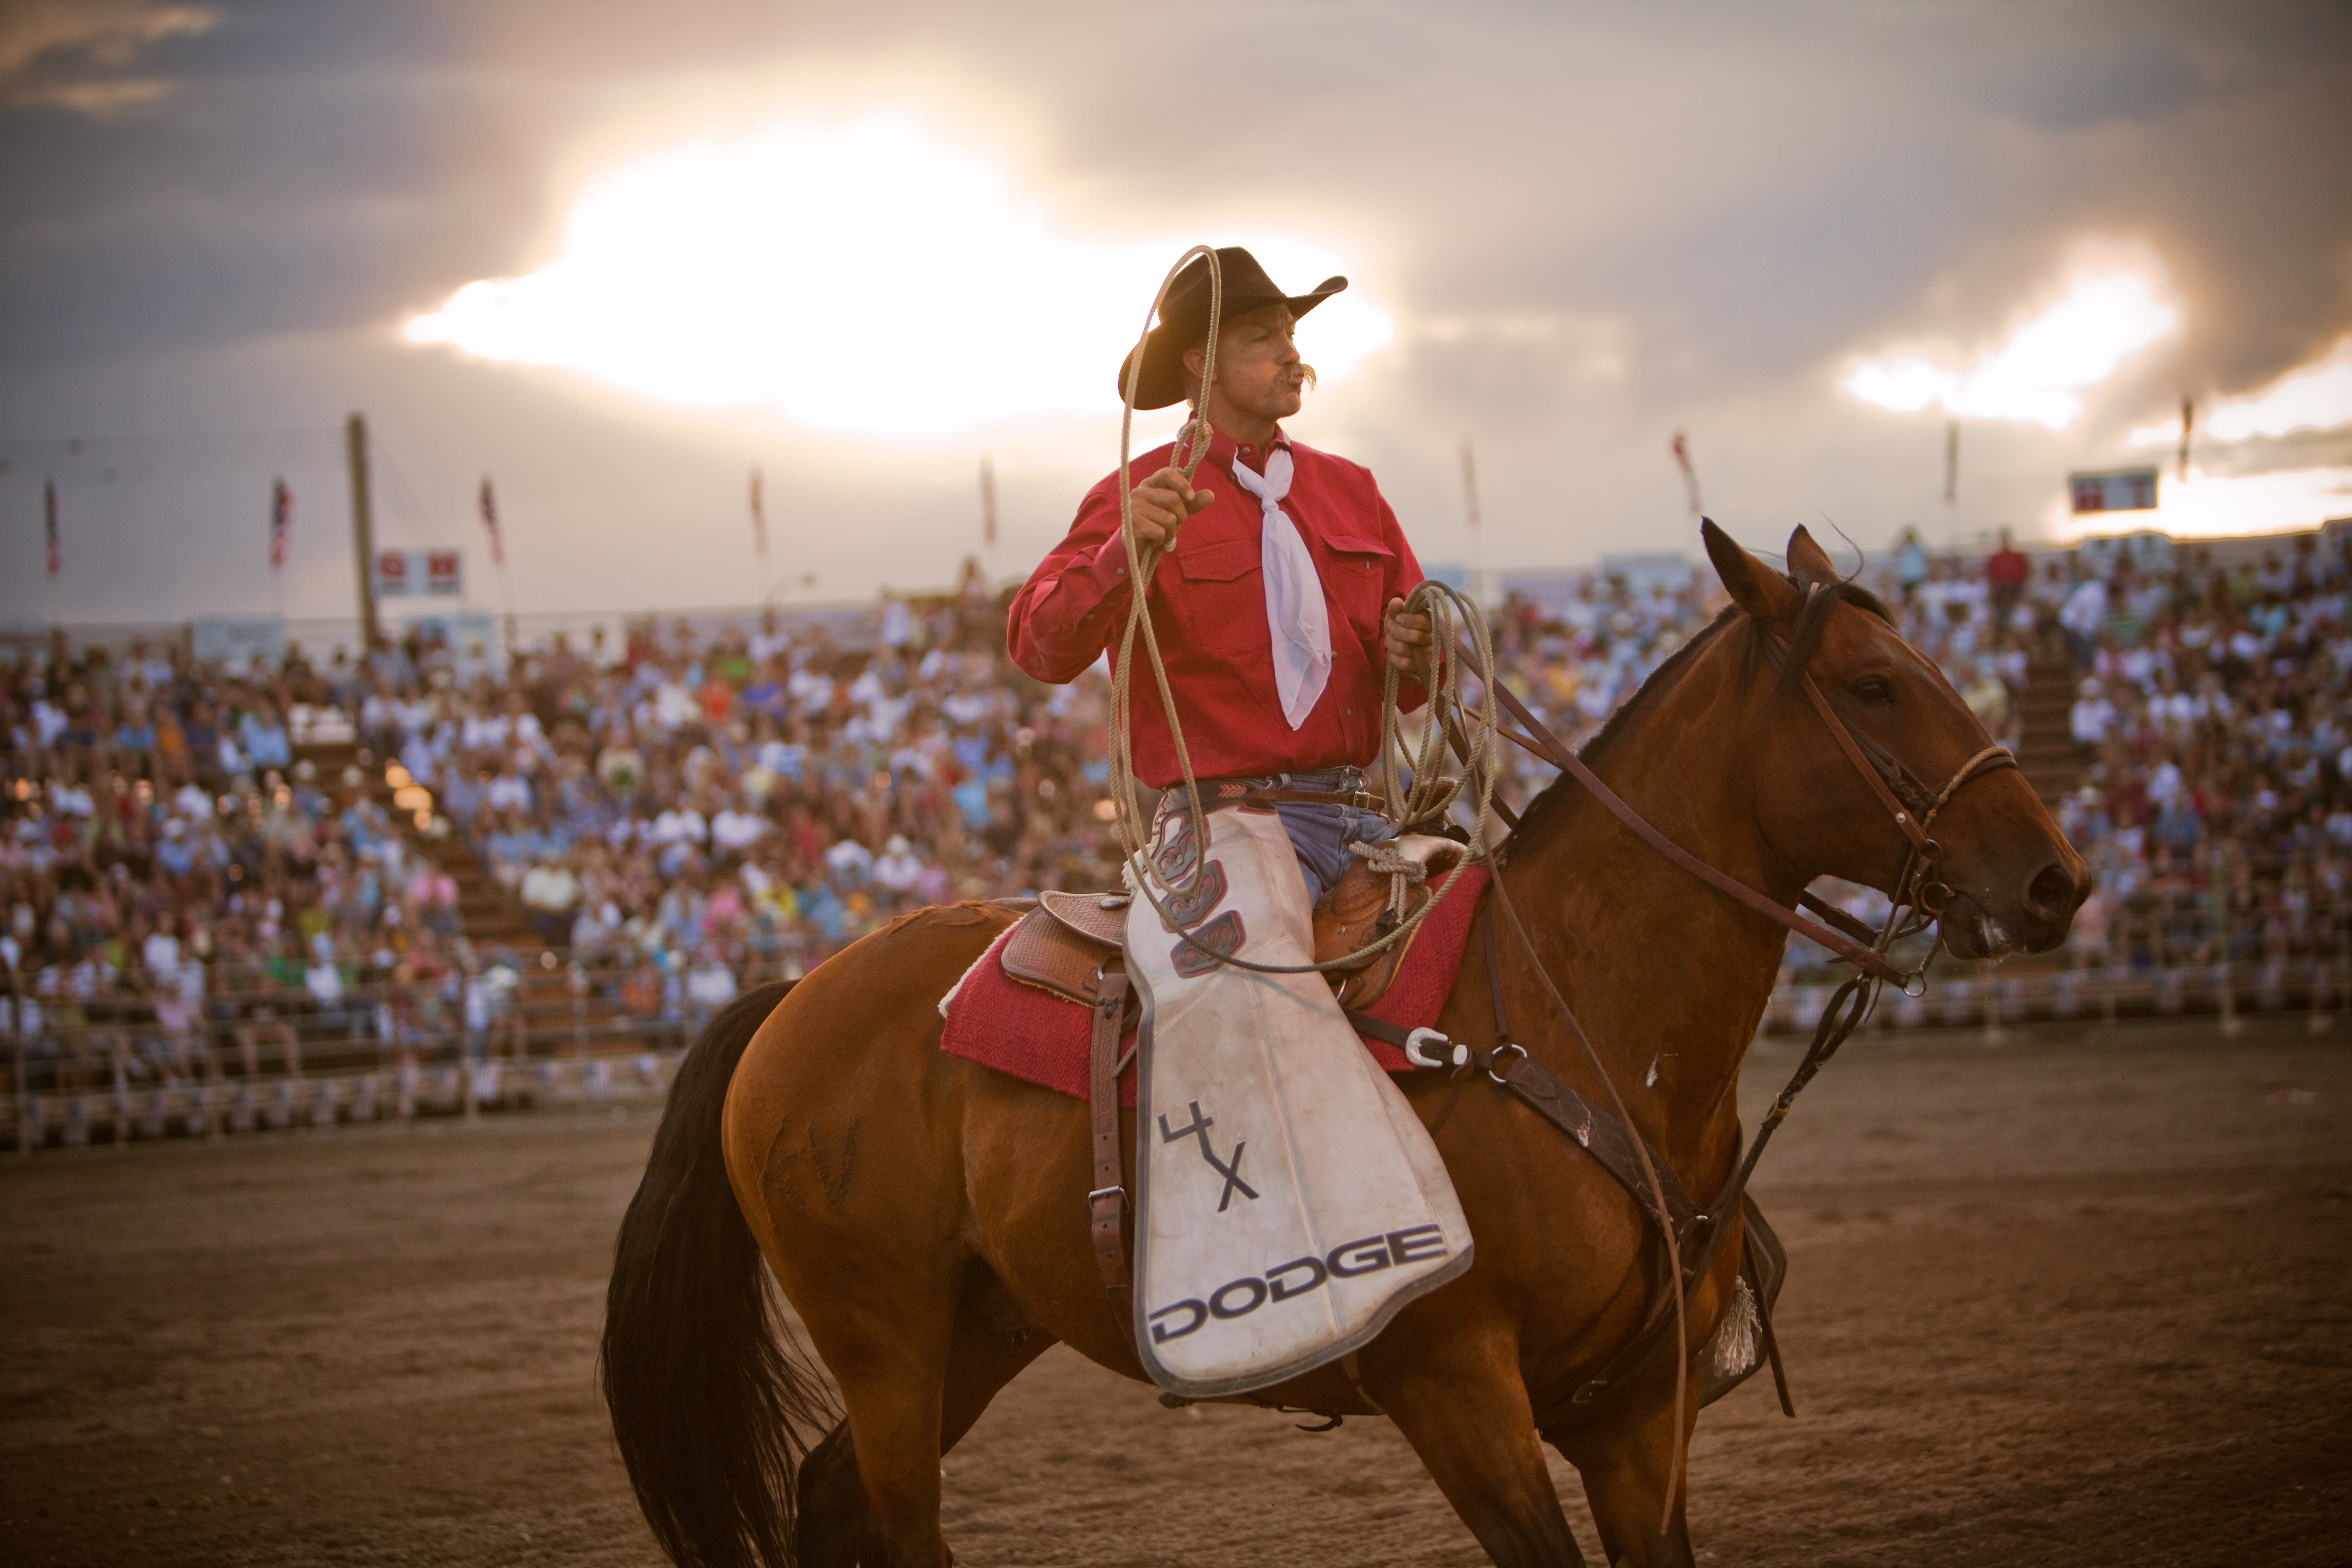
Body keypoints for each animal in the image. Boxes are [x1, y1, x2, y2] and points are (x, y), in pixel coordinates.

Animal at [597, 522, 2089, 1561]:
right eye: (1876, 686)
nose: (2056, 881)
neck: (1572, 1015)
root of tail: (794, 997)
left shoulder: (1633, 1421)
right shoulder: (1457, 1391)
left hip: (981, 1325)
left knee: (831, 1498)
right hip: (887, 1338)